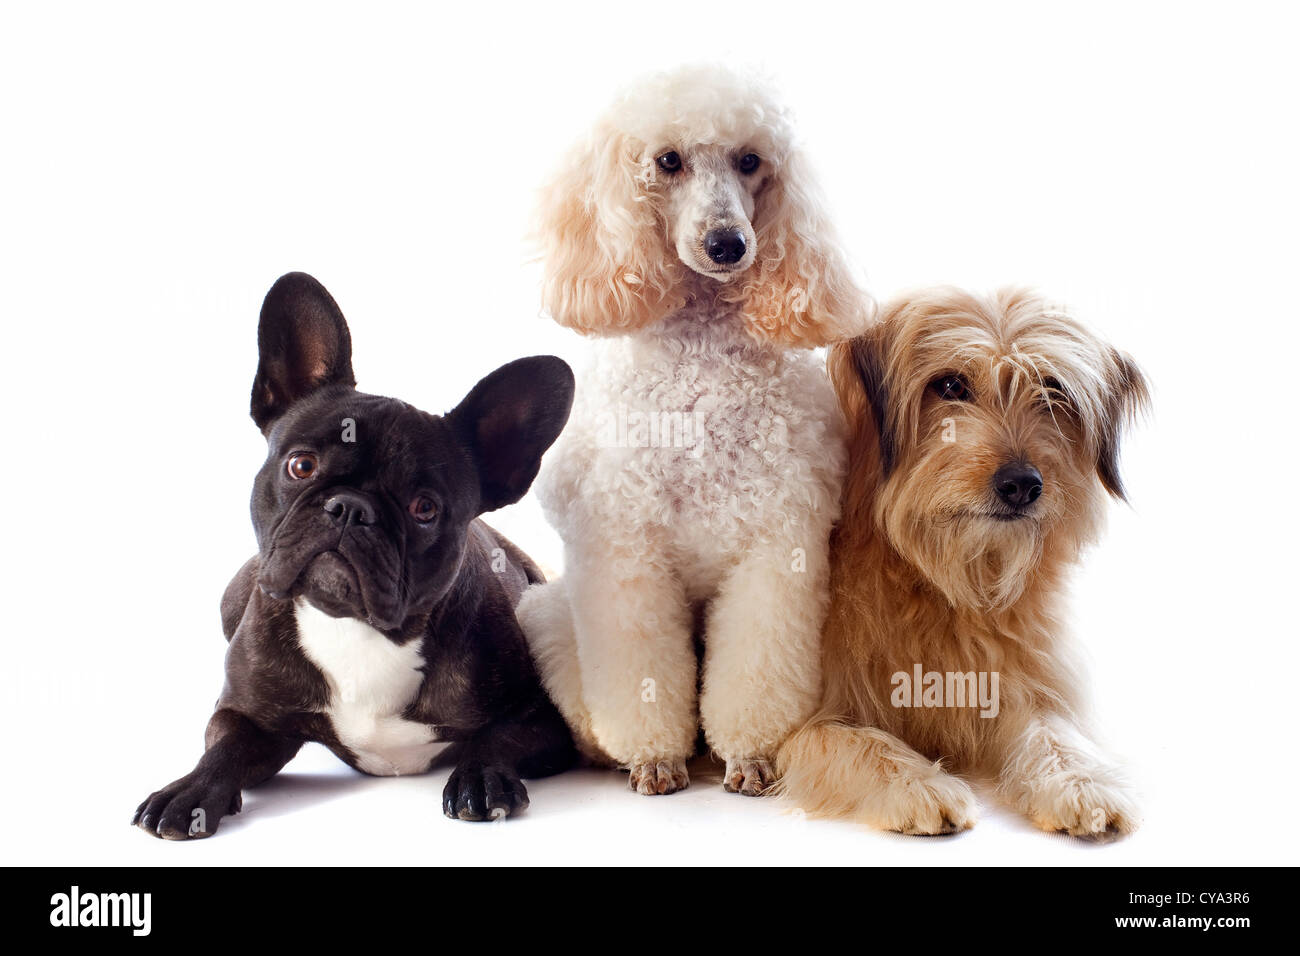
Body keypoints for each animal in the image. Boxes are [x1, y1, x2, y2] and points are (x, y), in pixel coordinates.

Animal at [769, 290, 1149, 837]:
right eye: (950, 385)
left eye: (1052, 390)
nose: (1022, 484)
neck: (942, 583)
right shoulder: (796, 728)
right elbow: (860, 742)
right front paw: (921, 785)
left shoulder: (1018, 684)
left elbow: (1051, 733)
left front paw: (1084, 782)